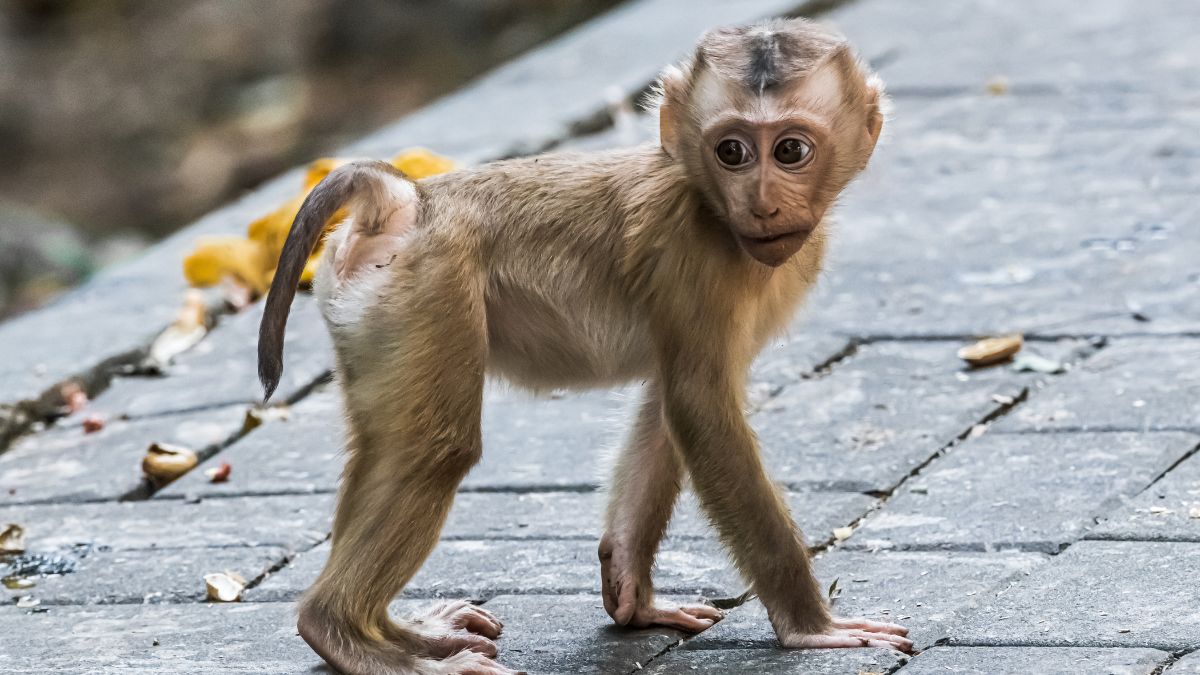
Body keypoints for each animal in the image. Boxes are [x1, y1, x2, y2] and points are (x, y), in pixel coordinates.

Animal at [258, 18, 908, 675]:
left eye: (791, 151)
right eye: (732, 152)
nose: (763, 202)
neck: (710, 204)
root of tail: (404, 203)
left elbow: (667, 406)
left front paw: (633, 594)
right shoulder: (693, 257)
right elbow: (699, 409)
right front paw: (812, 626)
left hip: (376, 316)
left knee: (386, 445)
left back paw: (405, 635)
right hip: (430, 289)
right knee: (436, 448)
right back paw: (349, 635)